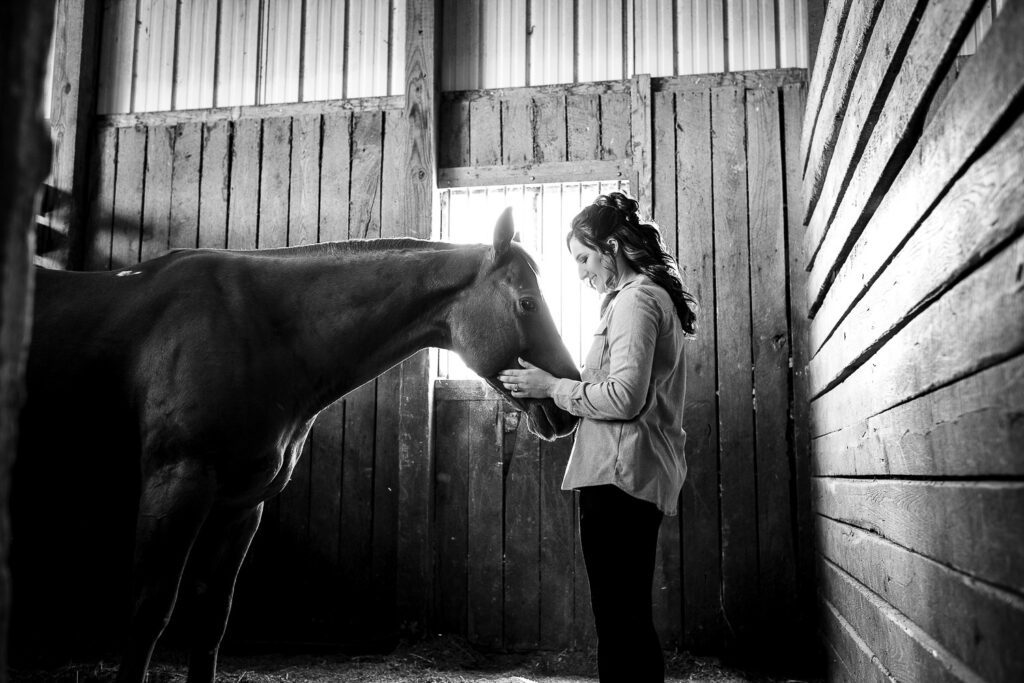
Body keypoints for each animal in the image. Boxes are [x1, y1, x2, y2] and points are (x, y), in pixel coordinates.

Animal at [12, 208, 581, 683]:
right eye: (527, 303)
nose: (568, 404)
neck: (257, 332)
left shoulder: (241, 506)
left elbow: (212, 617)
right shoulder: (175, 484)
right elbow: (149, 610)